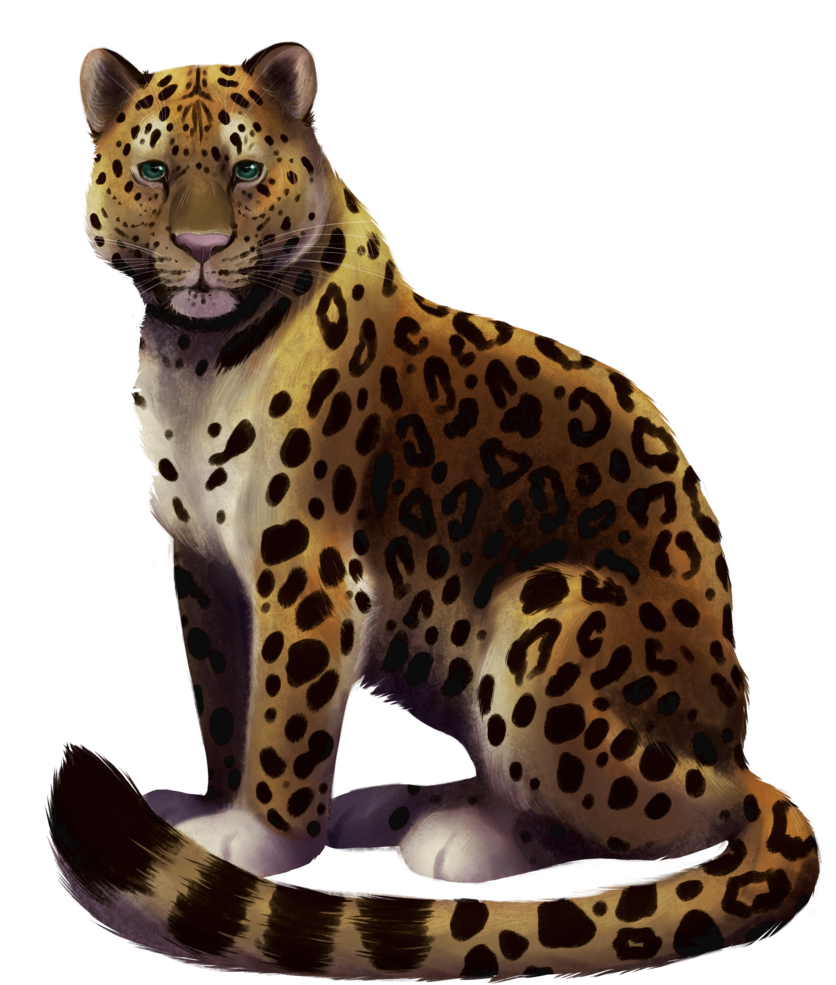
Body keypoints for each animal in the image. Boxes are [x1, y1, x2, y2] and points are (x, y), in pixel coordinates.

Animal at [45, 38, 821, 981]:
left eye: (247, 170)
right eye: (153, 170)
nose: (201, 247)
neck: (193, 357)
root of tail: (737, 743)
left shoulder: (310, 566)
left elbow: (284, 714)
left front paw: (256, 839)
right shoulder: (199, 565)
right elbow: (223, 697)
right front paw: (205, 803)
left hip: (551, 619)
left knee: (672, 815)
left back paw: (466, 840)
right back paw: (397, 806)